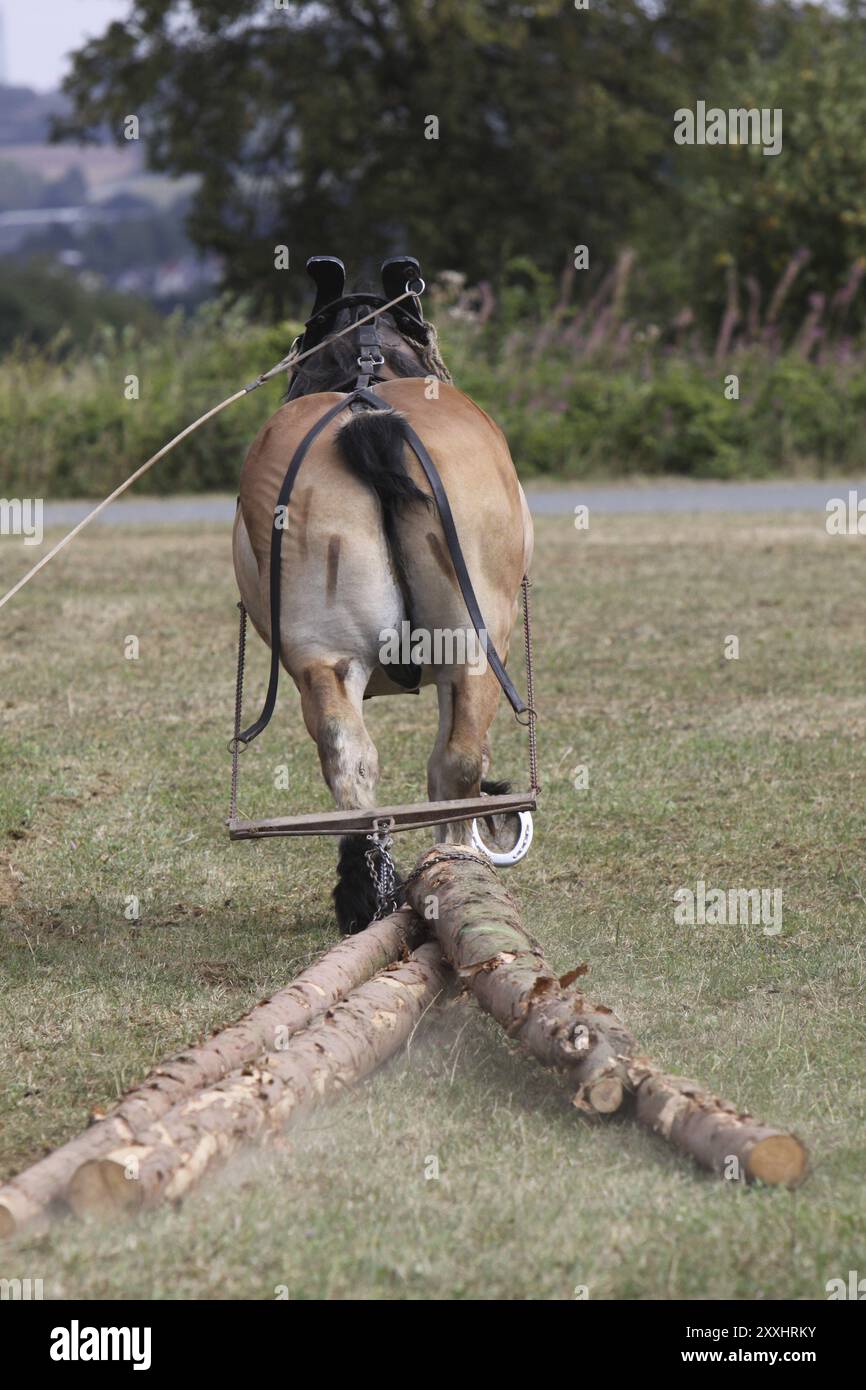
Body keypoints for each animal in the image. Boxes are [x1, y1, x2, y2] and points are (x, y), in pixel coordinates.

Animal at [232, 259, 533, 932]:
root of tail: (368, 419)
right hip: (475, 649)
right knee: (453, 767)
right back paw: (451, 871)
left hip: (330, 656)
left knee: (351, 759)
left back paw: (369, 892)